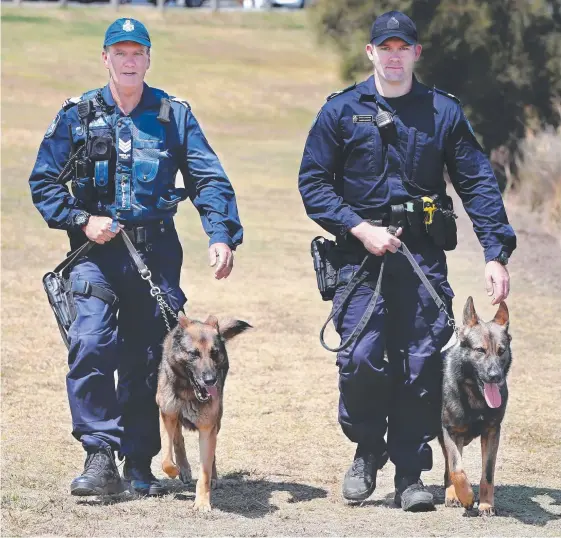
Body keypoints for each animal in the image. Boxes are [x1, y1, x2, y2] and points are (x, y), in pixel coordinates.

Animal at [153, 312, 249, 508]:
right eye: (194, 354)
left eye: (214, 353)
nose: (211, 380)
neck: (187, 391)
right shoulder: (167, 414)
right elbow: (167, 458)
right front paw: (175, 470)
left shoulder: (207, 429)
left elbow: (204, 471)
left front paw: (203, 502)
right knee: (178, 439)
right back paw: (183, 468)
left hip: (217, 422)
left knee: (212, 455)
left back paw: (213, 477)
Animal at [438, 296, 512, 512]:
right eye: (480, 350)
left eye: (501, 351)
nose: (495, 377)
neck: (475, 394)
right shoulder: (450, 431)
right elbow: (456, 468)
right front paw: (466, 496)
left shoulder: (492, 432)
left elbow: (487, 473)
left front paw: (486, 503)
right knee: (449, 467)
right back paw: (452, 494)